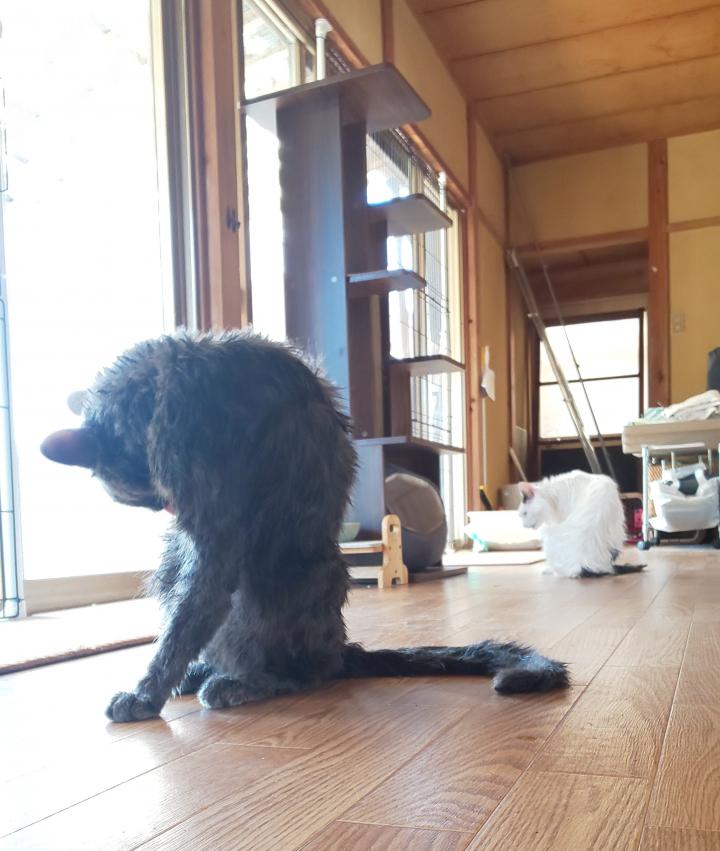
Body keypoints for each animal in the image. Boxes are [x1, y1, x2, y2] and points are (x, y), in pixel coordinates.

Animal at [41, 330, 568, 722]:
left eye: (135, 494)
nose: (166, 508)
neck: (164, 378)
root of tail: (339, 647)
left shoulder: (211, 523)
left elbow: (186, 620)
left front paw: (144, 693)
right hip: (174, 562)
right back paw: (201, 674)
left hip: (267, 585)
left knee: (301, 672)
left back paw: (236, 682)